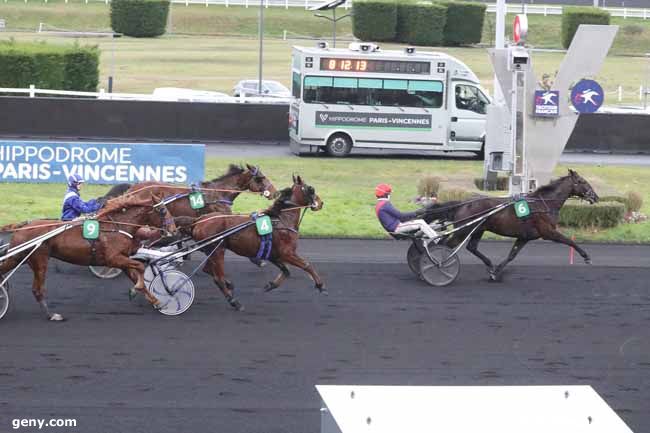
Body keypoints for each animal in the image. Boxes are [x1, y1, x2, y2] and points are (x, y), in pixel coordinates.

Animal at [0, 194, 176, 318]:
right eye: (162, 210)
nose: (174, 229)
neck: (117, 226)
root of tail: (22, 226)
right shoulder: (113, 259)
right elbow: (139, 266)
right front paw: (137, 289)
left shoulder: (121, 260)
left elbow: (137, 274)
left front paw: (157, 301)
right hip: (39, 260)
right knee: (38, 290)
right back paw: (51, 315)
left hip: (19, 258)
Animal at [187, 174, 324, 308]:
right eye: (311, 189)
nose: (321, 203)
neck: (282, 220)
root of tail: (199, 221)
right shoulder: (287, 253)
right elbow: (307, 265)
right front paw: (320, 285)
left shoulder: (273, 254)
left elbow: (286, 271)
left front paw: (270, 285)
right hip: (217, 251)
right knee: (218, 277)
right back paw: (234, 301)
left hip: (212, 251)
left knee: (208, 270)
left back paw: (229, 286)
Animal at [426, 169, 596, 280]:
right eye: (582, 182)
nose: (595, 196)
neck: (543, 204)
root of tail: (462, 204)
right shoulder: (548, 232)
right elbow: (569, 241)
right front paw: (586, 257)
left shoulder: (525, 237)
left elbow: (512, 255)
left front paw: (495, 272)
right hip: (464, 230)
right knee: (445, 245)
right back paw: (435, 266)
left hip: (477, 229)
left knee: (470, 247)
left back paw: (489, 264)